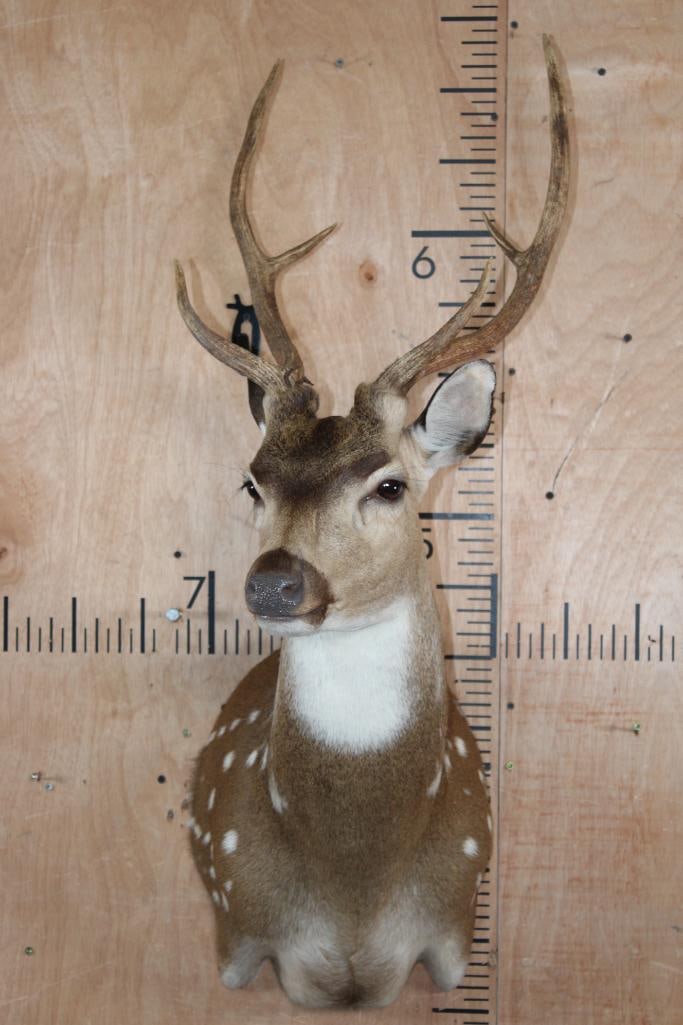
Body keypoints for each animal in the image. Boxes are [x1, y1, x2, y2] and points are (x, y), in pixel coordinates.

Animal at [174, 35, 569, 1010]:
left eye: (388, 485)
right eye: (252, 481)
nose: (275, 582)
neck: (353, 882)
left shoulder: (457, 920)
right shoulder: (235, 924)